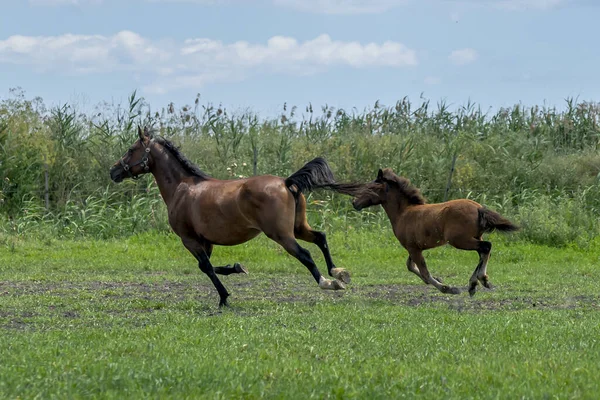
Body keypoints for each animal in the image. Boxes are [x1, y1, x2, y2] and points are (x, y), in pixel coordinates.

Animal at [354, 167, 516, 296]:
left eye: (370, 188)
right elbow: (411, 266)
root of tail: (479, 208)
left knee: (486, 247)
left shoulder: (413, 248)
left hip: (460, 240)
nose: (354, 203)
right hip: (474, 237)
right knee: (483, 252)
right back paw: (478, 282)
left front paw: (448, 288)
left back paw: (476, 282)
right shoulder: (415, 247)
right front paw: (440, 280)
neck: (404, 213)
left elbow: (423, 272)